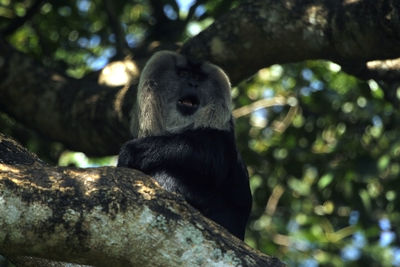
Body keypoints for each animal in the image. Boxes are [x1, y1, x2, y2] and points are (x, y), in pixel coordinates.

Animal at [117, 50, 252, 241]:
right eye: (183, 74)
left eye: (197, 77)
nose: (192, 83)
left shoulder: (224, 135)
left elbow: (212, 155)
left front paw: (133, 152)